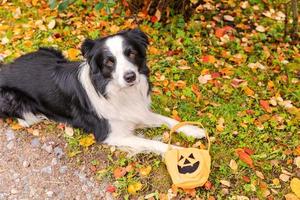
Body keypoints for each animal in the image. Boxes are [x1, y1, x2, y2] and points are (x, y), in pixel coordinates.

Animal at [0, 29, 205, 155]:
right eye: (109, 61)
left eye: (131, 53)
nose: (130, 76)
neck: (117, 91)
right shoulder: (112, 134)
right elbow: (156, 143)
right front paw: (183, 152)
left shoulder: (137, 112)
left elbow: (168, 120)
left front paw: (193, 130)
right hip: (10, 98)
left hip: (51, 51)